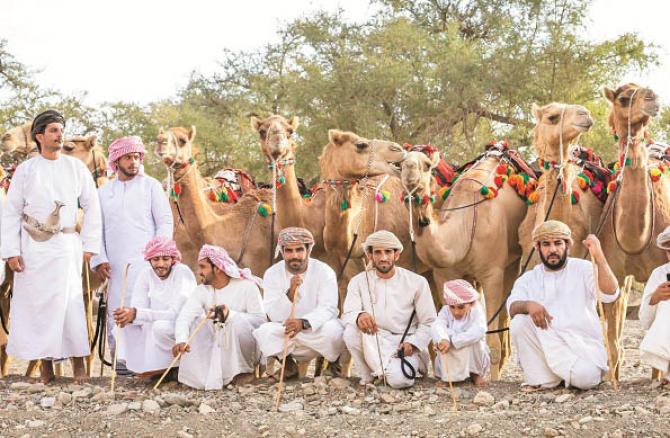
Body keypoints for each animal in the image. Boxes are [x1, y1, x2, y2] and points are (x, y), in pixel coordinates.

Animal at [402, 145, 532, 380]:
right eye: (400, 163)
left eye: (427, 164)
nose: (409, 169)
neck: (465, 226)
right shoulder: (444, 275)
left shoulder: (492, 274)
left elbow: (492, 342)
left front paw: (493, 379)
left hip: (512, 260)